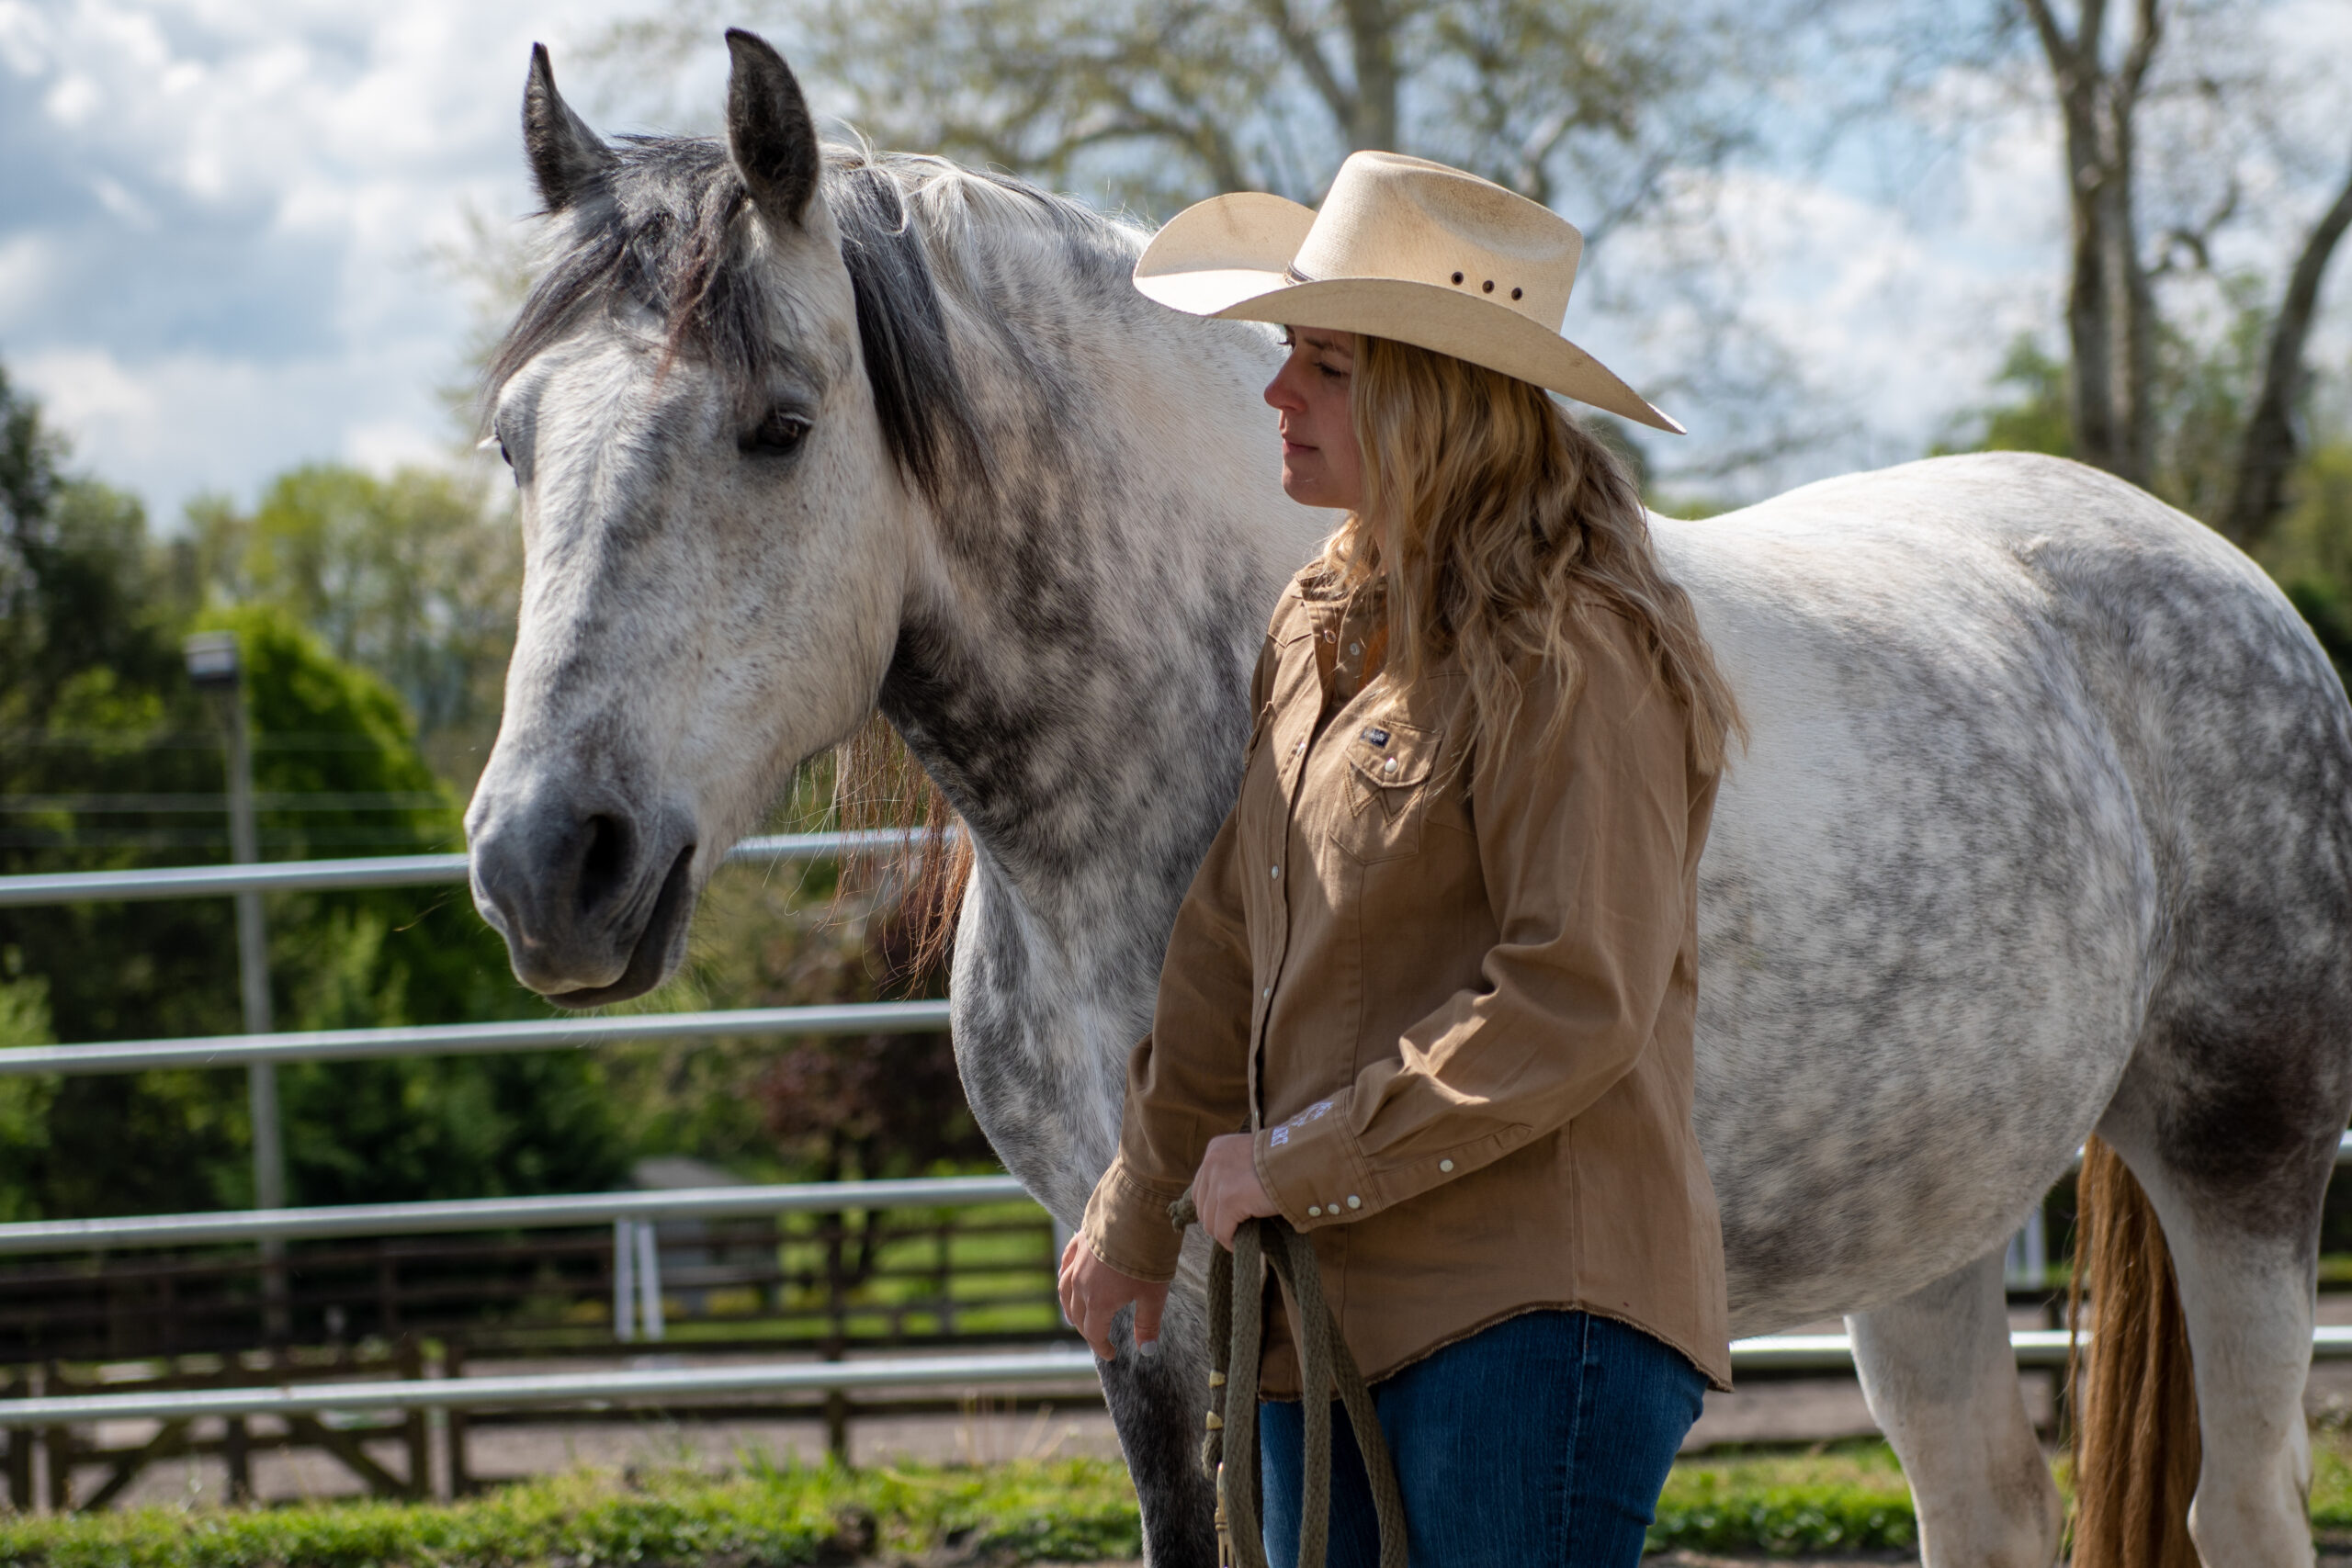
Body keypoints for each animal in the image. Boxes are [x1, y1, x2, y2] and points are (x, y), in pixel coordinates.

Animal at [463, 32, 2352, 1566]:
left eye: (780, 426)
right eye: (512, 438)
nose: (549, 862)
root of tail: (2220, 578)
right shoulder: (1147, 1307)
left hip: (2244, 1158)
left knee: (2241, 1502)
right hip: (1931, 1220)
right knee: (1985, 1496)